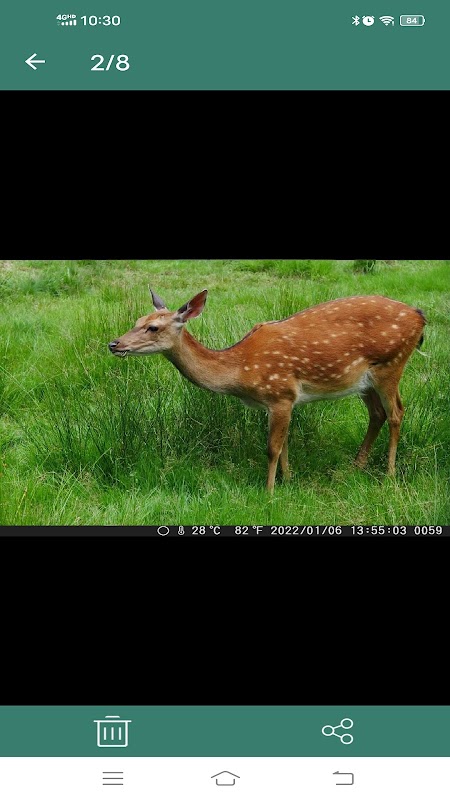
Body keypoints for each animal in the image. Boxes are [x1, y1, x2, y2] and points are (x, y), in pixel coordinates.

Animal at [108, 289, 426, 493]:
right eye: (136, 321)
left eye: (152, 327)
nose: (114, 344)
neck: (240, 371)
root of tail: (420, 317)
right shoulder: (280, 402)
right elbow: (284, 444)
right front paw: (288, 480)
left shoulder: (280, 393)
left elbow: (272, 447)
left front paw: (269, 491)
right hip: (363, 381)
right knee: (377, 414)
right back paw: (355, 467)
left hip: (391, 363)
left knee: (397, 412)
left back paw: (388, 474)